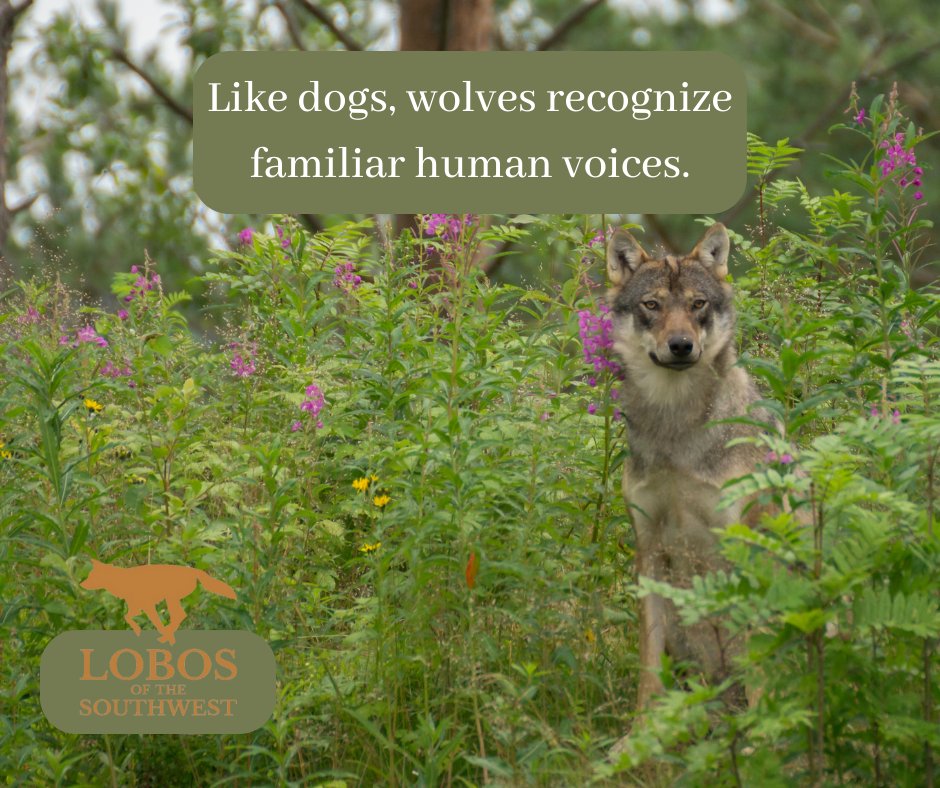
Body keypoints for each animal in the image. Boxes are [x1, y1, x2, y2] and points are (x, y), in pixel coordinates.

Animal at [81, 559, 236, 645]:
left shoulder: (148, 606)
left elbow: (156, 622)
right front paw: (138, 631)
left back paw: (166, 637)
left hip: (170, 598)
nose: (82, 584)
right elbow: (128, 617)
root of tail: (194, 570)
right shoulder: (138, 607)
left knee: (179, 615)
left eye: (92, 576)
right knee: (180, 616)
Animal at [606, 223, 769, 714]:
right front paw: (643, 726)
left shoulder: (743, 545)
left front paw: (767, 730)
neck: (674, 428)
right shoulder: (649, 548)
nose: (681, 346)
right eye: (652, 305)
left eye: (698, 304)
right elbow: (648, 662)